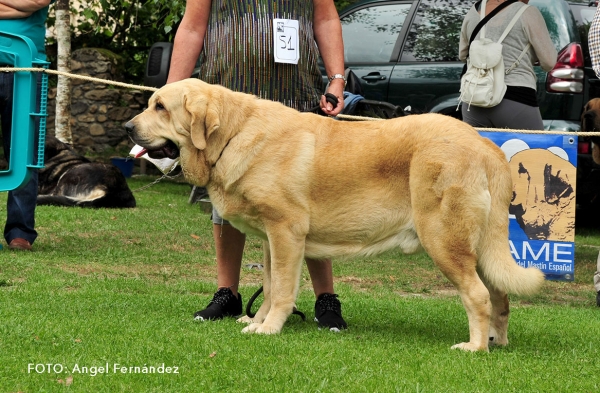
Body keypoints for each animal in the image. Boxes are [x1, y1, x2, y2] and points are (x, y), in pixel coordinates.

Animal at [124, 78, 548, 350]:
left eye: (160, 107)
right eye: (150, 103)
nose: (127, 127)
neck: (232, 133)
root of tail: (484, 145)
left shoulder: (286, 232)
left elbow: (282, 290)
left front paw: (270, 329)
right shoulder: (271, 241)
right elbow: (270, 287)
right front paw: (257, 321)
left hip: (445, 241)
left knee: (478, 295)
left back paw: (475, 347)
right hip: (478, 248)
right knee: (500, 295)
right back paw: (497, 341)